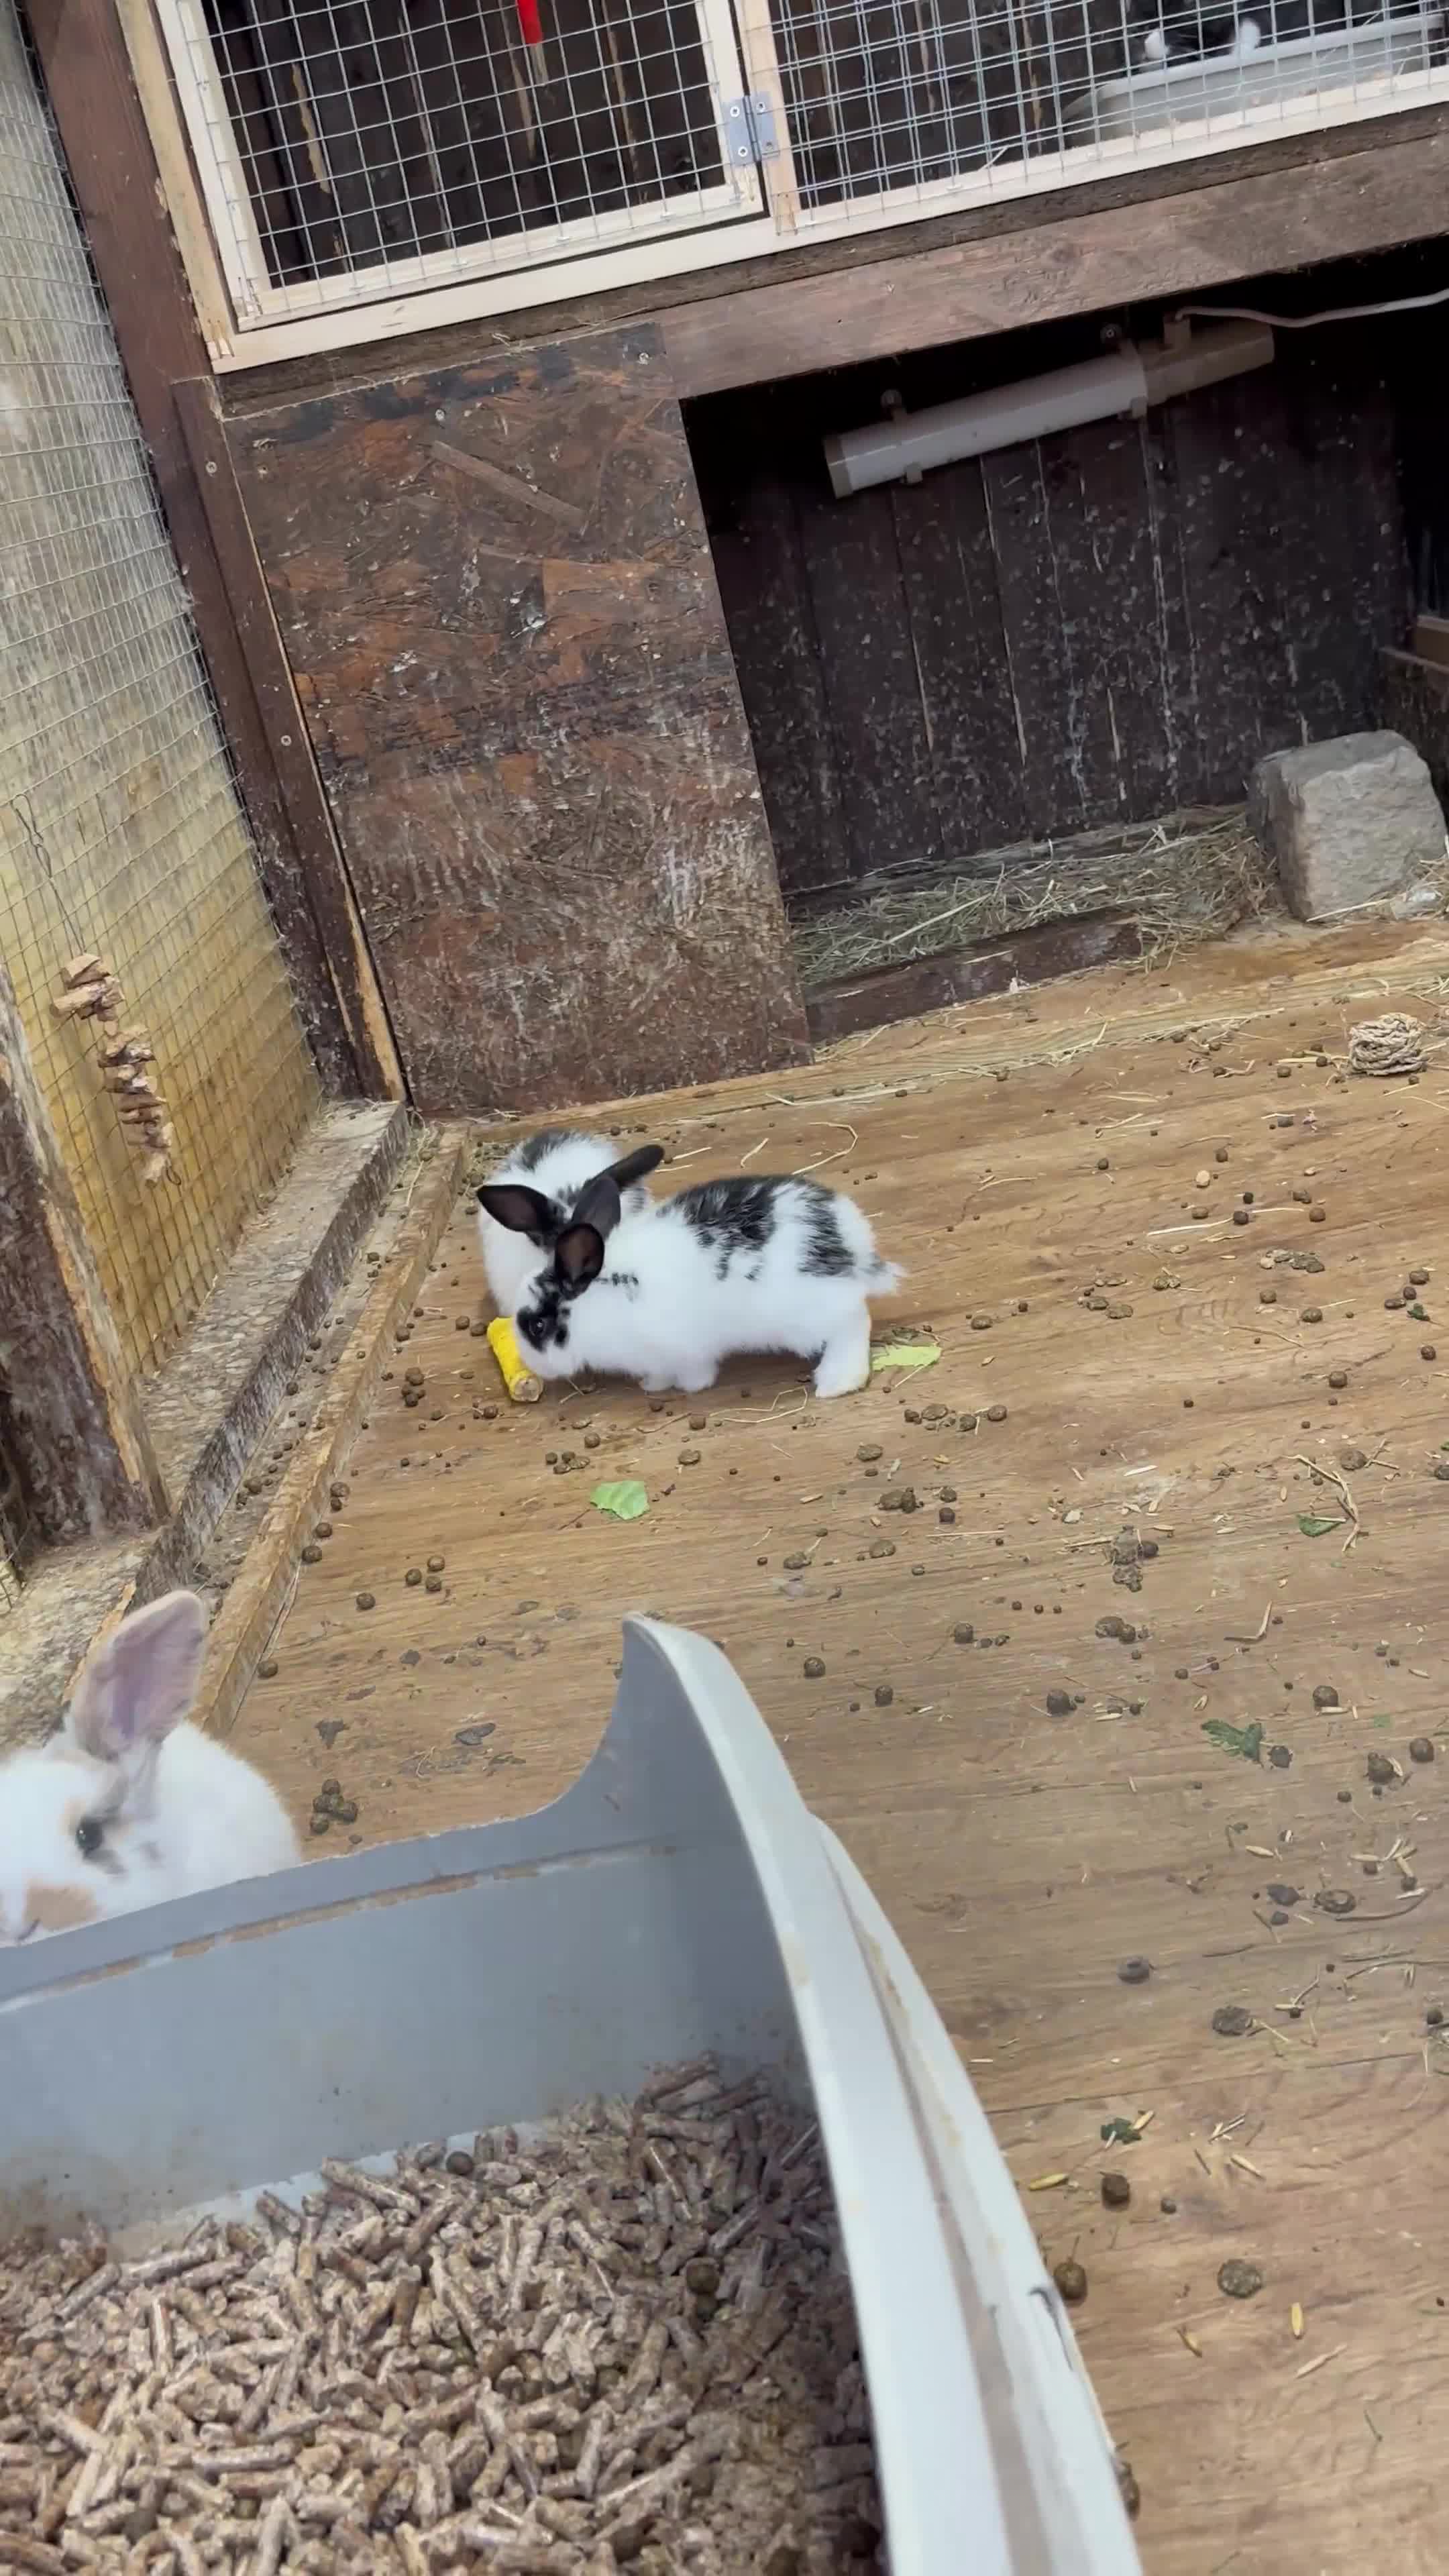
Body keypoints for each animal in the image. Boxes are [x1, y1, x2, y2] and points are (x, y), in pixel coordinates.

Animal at [476, 1170, 903, 1401]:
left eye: (538, 1326)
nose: (533, 1364)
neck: (599, 1299)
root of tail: (851, 1241)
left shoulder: (681, 1349)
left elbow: (693, 1372)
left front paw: (670, 1387)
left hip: (814, 1315)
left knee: (853, 1325)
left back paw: (835, 1383)